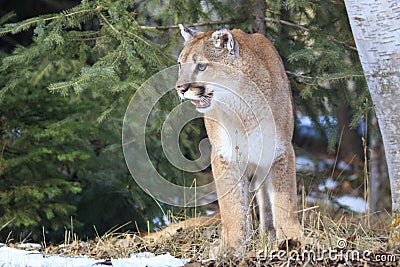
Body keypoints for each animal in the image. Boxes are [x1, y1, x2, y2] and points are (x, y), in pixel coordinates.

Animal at [175, 25, 300, 251]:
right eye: (180, 64)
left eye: (201, 66)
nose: (180, 88)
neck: (240, 106)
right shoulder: (225, 154)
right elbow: (232, 205)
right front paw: (231, 247)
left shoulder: (280, 150)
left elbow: (284, 200)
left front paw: (294, 240)